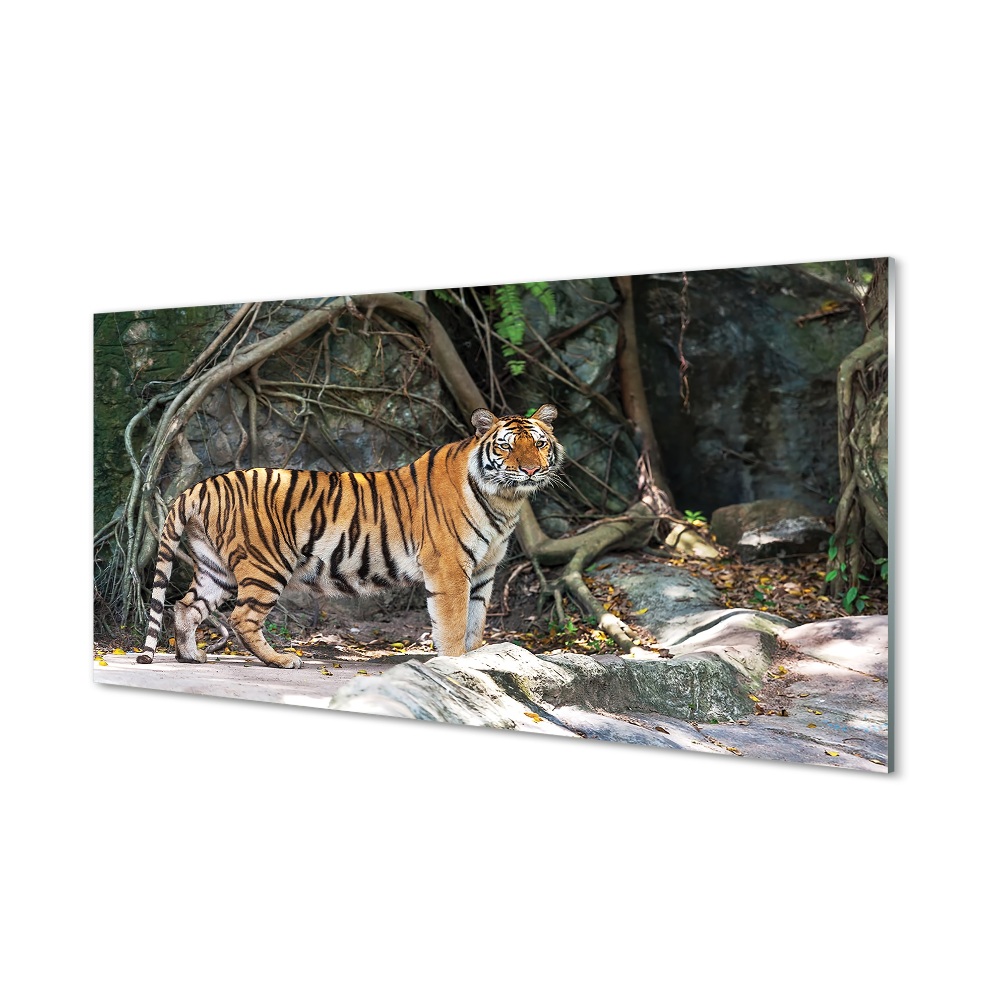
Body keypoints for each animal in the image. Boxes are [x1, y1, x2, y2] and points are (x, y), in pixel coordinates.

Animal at [135, 404, 563, 668]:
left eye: (539, 443)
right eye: (507, 446)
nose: (529, 470)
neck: (504, 499)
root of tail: (200, 487)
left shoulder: (484, 571)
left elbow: (476, 622)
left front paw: (478, 664)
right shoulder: (449, 567)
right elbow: (454, 623)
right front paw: (457, 664)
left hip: (215, 566)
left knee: (185, 606)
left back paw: (191, 657)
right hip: (266, 564)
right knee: (242, 617)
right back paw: (282, 660)